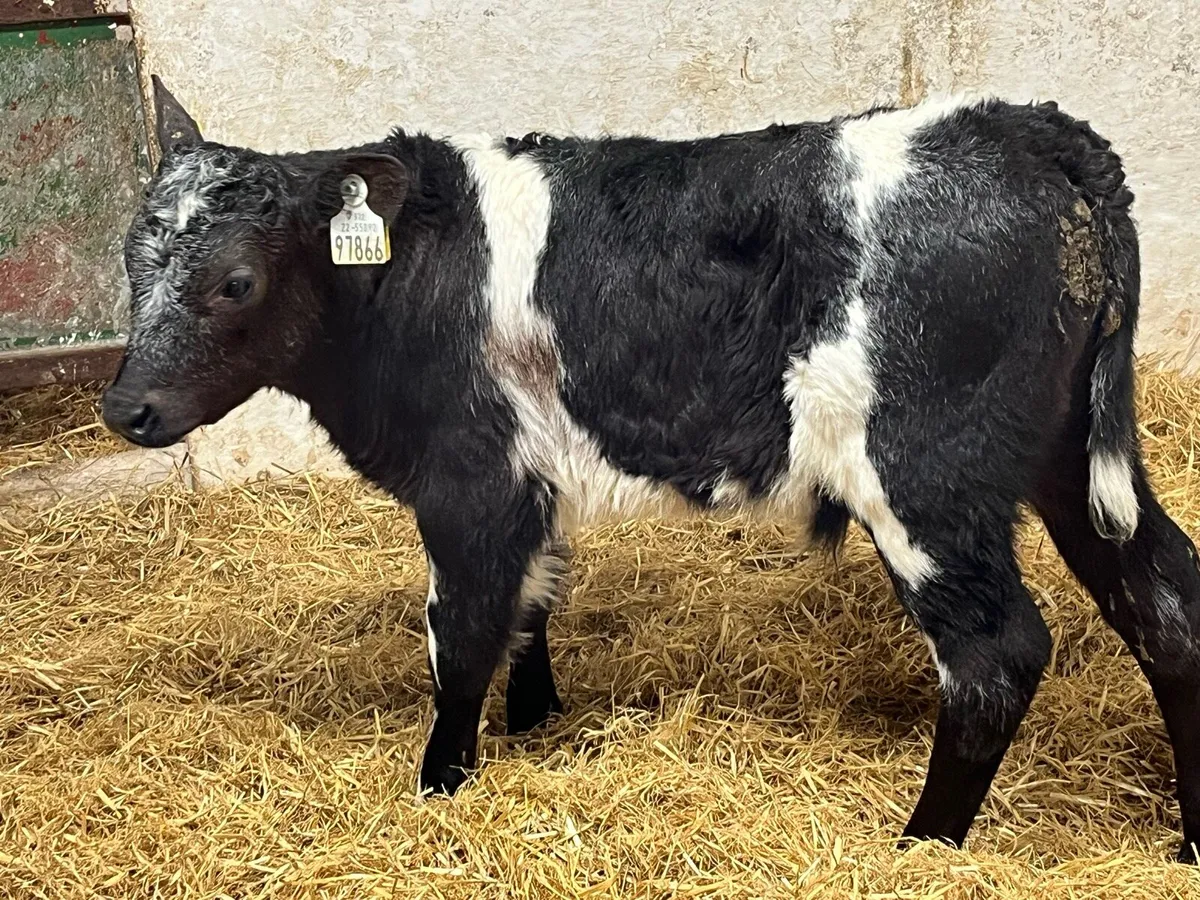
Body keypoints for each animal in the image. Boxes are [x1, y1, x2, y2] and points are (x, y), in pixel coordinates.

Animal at [101, 76, 1200, 860]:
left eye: (235, 281)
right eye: (130, 261)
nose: (125, 408)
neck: (407, 281)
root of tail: (1033, 129)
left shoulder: (471, 481)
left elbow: (463, 638)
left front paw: (442, 782)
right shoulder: (531, 482)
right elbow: (534, 603)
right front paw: (535, 723)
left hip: (925, 478)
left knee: (995, 654)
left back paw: (922, 847)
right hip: (1072, 463)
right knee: (1168, 605)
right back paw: (1187, 841)